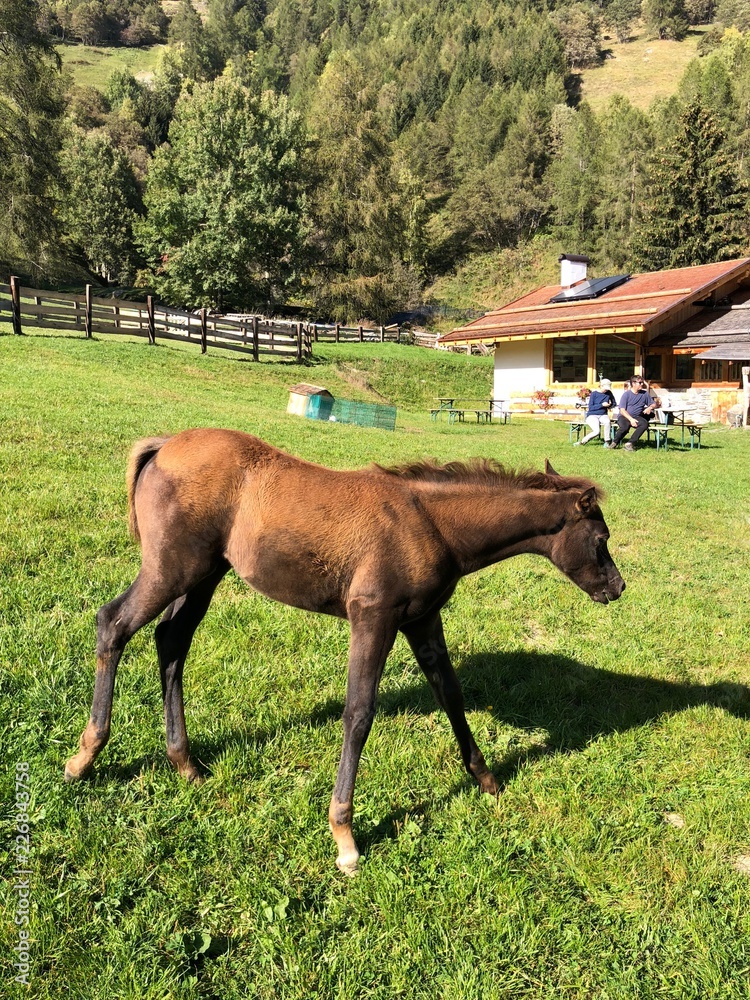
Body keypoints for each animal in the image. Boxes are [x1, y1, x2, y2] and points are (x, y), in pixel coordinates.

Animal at [65, 429, 625, 874]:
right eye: (601, 538)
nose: (618, 588)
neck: (431, 523)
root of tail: (164, 444)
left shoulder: (421, 620)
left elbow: (450, 694)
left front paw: (486, 779)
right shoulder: (372, 618)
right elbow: (359, 713)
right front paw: (345, 837)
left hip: (204, 574)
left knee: (171, 642)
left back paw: (184, 762)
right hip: (170, 570)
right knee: (113, 624)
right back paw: (86, 755)